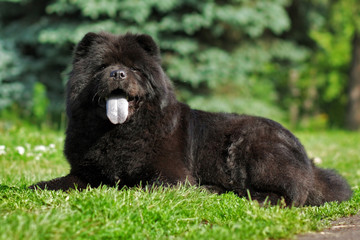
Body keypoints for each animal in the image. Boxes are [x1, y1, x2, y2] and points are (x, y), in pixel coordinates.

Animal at [28, 32, 352, 206]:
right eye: (103, 66)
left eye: (134, 69)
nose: (118, 73)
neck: (118, 132)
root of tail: (306, 158)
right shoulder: (83, 172)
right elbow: (58, 182)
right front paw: (30, 187)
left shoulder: (170, 176)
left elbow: (136, 185)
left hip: (250, 148)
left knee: (289, 193)